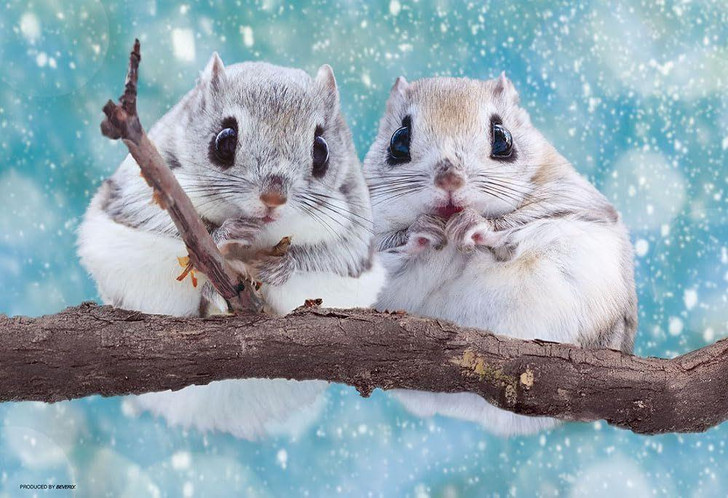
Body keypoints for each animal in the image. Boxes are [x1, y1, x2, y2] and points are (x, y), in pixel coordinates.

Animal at [78, 54, 385, 439]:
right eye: (224, 140)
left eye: (322, 150)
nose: (273, 197)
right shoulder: (140, 190)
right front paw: (224, 234)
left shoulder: (356, 232)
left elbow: (331, 257)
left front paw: (283, 266)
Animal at [363, 74, 637, 436]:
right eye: (398, 140)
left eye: (502, 138)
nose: (449, 179)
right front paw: (421, 232)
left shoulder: (576, 203)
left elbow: (516, 225)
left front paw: (476, 226)